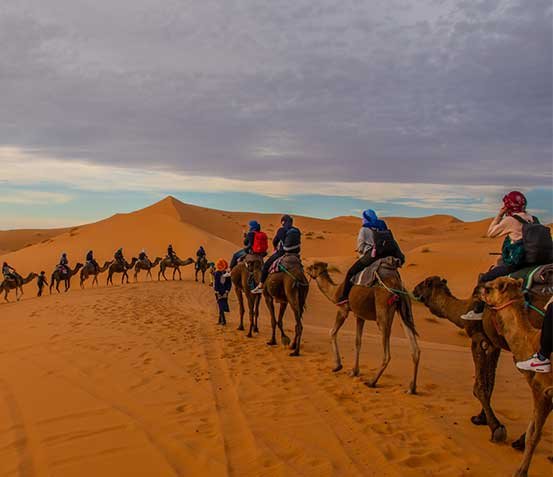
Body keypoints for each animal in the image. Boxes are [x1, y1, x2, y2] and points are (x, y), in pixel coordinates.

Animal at [306, 262, 418, 392]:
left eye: (313, 267)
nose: (306, 268)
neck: (335, 291)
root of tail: (398, 286)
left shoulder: (343, 309)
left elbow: (332, 332)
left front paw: (338, 366)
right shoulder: (360, 315)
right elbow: (358, 342)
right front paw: (354, 371)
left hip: (383, 310)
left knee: (387, 354)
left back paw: (372, 382)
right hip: (405, 310)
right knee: (415, 348)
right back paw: (411, 388)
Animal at [412, 276, 544, 446]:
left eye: (424, 283)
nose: (414, 290)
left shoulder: (478, 339)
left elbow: (479, 387)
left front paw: (496, 428)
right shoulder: (493, 344)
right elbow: (489, 384)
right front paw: (481, 419)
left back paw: (521, 442)